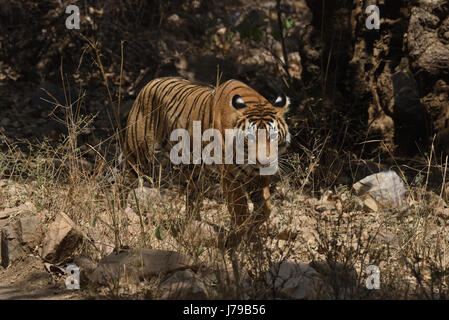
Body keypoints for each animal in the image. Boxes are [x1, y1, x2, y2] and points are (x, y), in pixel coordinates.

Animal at [123, 77, 290, 248]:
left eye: (273, 136)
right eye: (249, 138)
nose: (263, 162)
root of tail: (150, 82)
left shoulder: (258, 178)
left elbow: (265, 210)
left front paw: (249, 237)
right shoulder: (231, 178)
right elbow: (240, 212)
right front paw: (236, 241)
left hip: (191, 170)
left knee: (192, 198)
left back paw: (193, 227)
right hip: (136, 155)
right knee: (122, 184)